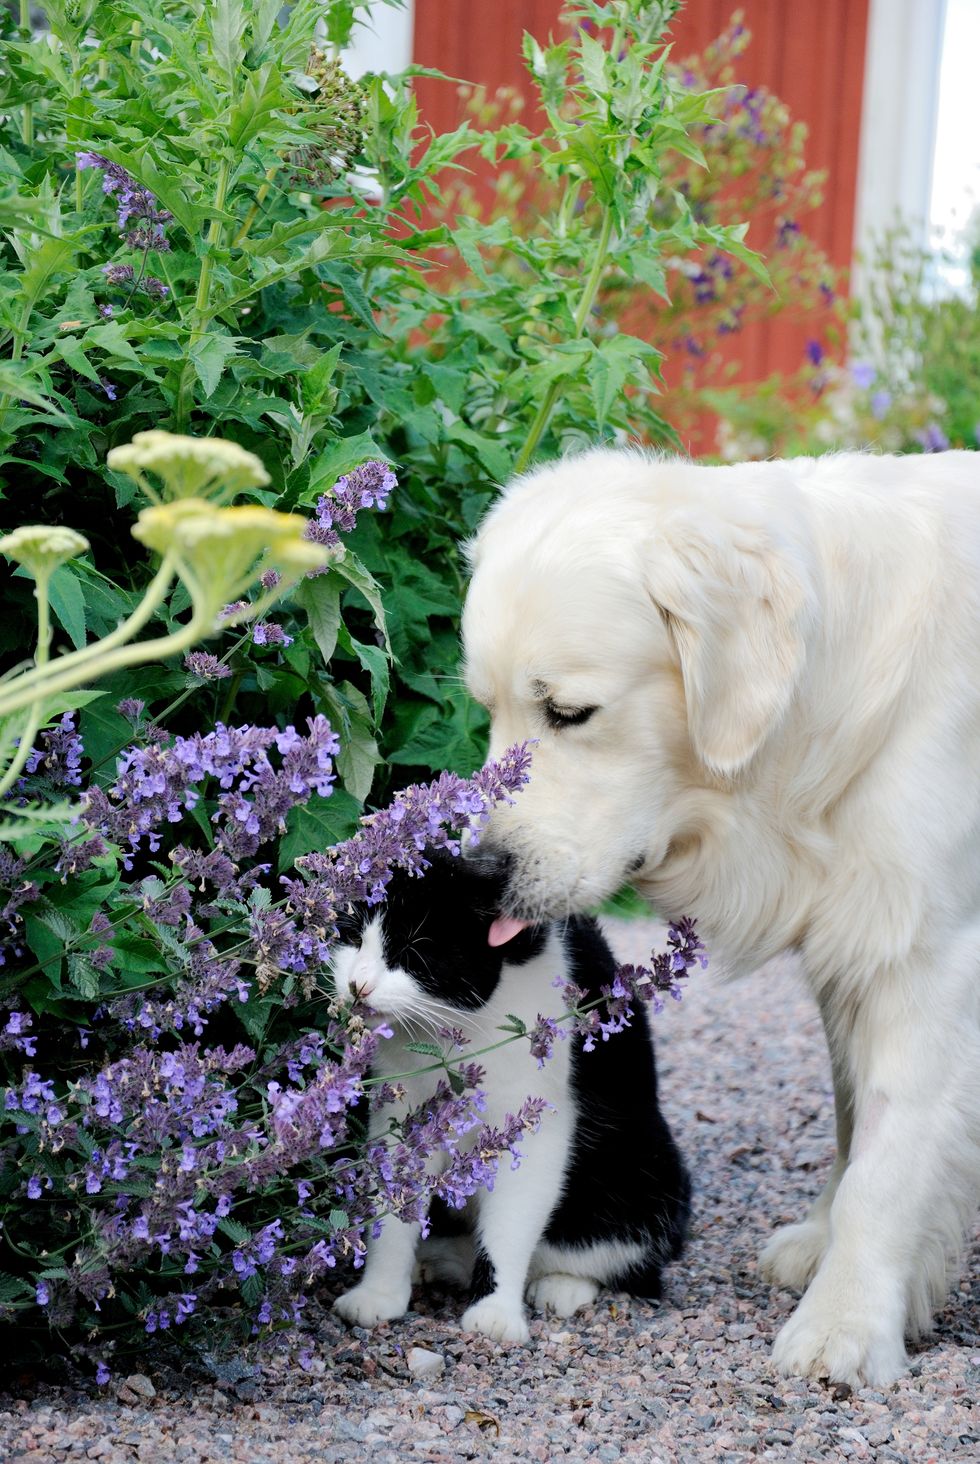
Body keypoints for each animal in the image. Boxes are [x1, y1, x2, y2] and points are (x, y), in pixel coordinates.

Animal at [328, 854, 688, 1341]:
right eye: (350, 936)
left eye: (413, 954)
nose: (358, 986)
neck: (454, 1030)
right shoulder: (399, 1114)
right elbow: (392, 1208)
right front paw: (379, 1293)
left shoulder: (534, 1130)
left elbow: (511, 1225)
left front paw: (495, 1312)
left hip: (649, 1169)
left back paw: (561, 1286)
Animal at [462, 445, 978, 1382]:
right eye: (489, 709)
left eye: (569, 712)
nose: (477, 872)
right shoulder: (848, 941)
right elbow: (855, 1115)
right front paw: (822, 1242)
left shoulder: (927, 953)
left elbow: (890, 1156)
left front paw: (847, 1324)